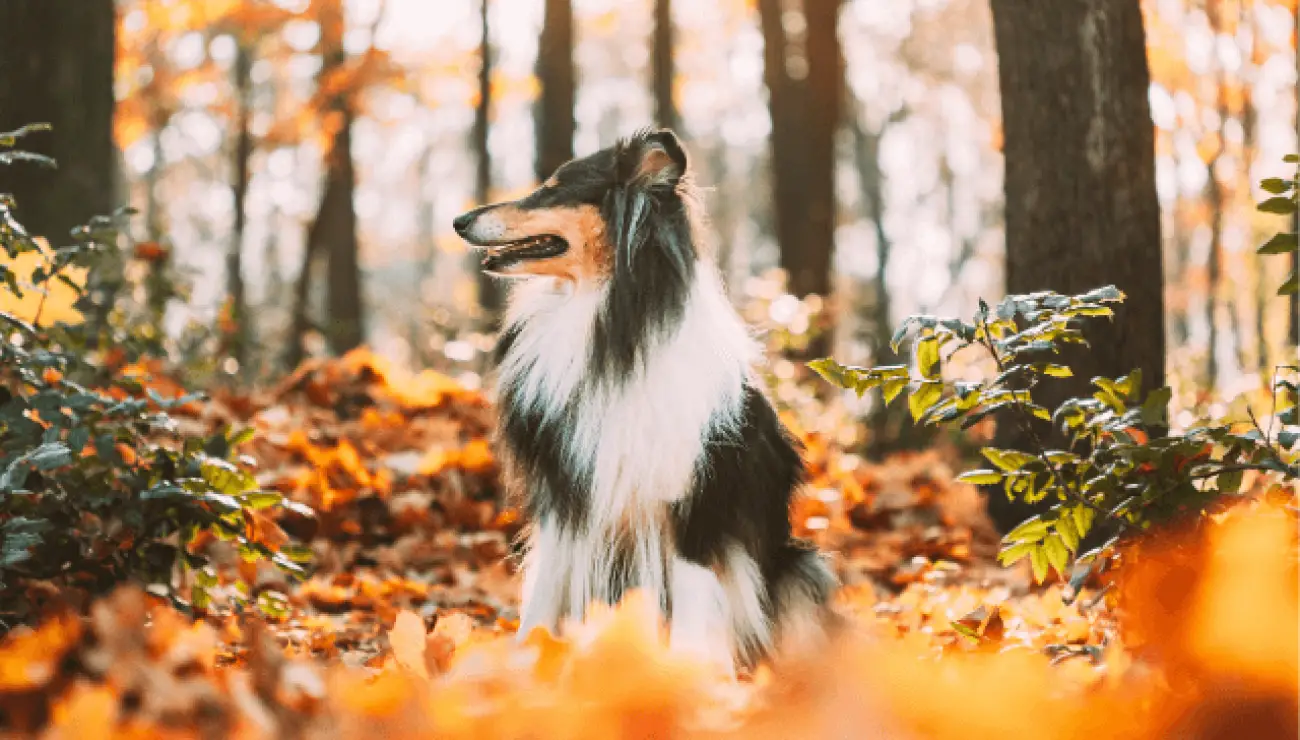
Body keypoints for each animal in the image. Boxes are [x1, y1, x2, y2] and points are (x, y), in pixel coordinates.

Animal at [452, 126, 837, 671]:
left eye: (552, 188)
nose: (459, 221)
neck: (608, 325)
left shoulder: (695, 503)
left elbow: (694, 603)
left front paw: (689, 678)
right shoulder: (566, 497)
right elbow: (541, 598)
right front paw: (522, 668)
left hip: (801, 567)